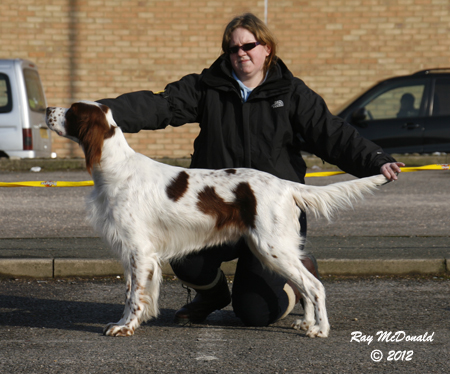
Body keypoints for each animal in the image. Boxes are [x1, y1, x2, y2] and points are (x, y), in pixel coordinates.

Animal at [45, 101, 388, 338]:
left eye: (72, 110)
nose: (48, 109)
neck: (116, 168)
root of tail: (285, 185)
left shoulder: (138, 250)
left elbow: (133, 295)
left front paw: (125, 326)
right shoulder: (133, 251)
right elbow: (134, 291)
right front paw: (127, 322)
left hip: (272, 246)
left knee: (314, 285)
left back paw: (320, 329)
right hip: (271, 249)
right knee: (303, 283)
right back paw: (306, 322)